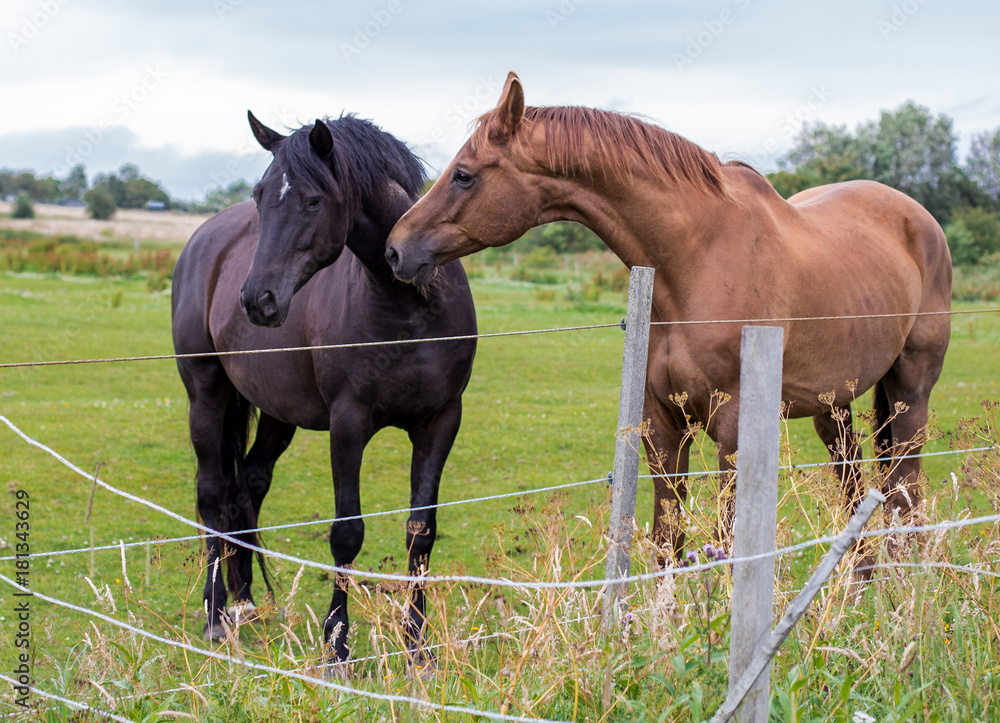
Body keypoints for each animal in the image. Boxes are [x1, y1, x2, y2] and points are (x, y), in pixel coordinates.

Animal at [171, 112, 477, 665]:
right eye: (260, 194)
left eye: (313, 201)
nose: (257, 299)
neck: (410, 308)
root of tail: (205, 237)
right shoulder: (348, 424)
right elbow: (347, 533)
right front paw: (337, 645)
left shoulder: (441, 421)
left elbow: (421, 532)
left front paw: (418, 646)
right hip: (205, 393)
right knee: (211, 495)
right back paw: (215, 615)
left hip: (276, 411)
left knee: (246, 487)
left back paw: (246, 603)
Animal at [385, 72, 951, 561]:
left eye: (463, 175)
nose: (395, 248)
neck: (697, 259)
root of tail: (920, 219)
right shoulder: (662, 426)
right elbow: (667, 545)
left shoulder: (734, 431)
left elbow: (726, 545)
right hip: (833, 408)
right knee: (859, 493)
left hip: (910, 394)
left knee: (906, 497)